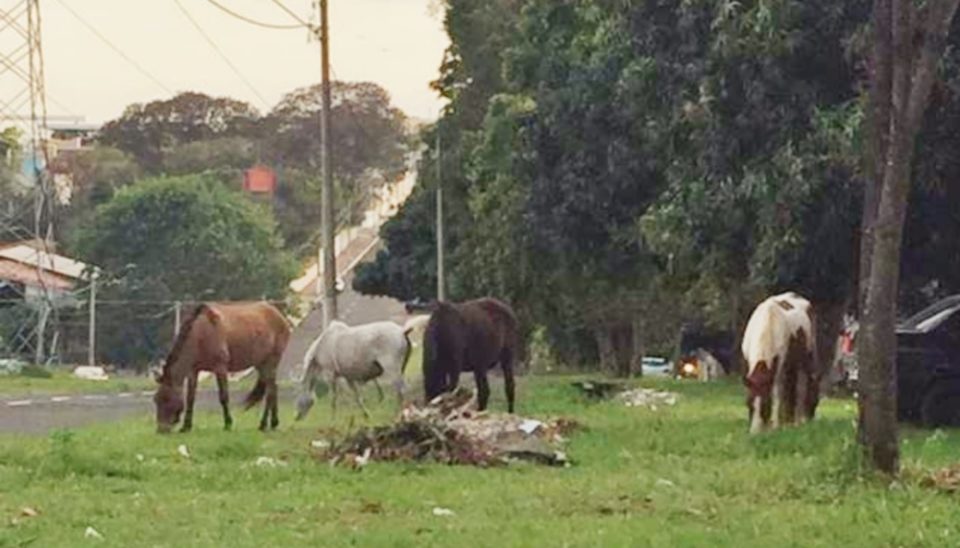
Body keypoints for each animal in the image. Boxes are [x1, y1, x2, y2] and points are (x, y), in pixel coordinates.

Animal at [151, 300, 288, 432]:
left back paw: (264, 424)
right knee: (273, 387)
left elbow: (223, 396)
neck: (201, 334)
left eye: (168, 399)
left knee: (270, 391)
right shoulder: (193, 371)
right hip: (261, 363)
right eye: (156, 399)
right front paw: (186, 426)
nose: (161, 429)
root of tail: (280, 317)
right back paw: (272, 423)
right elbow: (190, 398)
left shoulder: (220, 367)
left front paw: (228, 424)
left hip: (272, 360)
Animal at [744, 294, 816, 434]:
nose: (755, 432)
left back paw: (798, 420)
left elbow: (777, 393)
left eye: (766, 404)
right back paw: (789, 420)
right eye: (749, 403)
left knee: (801, 386)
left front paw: (775, 425)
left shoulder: (778, 367)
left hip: (804, 359)